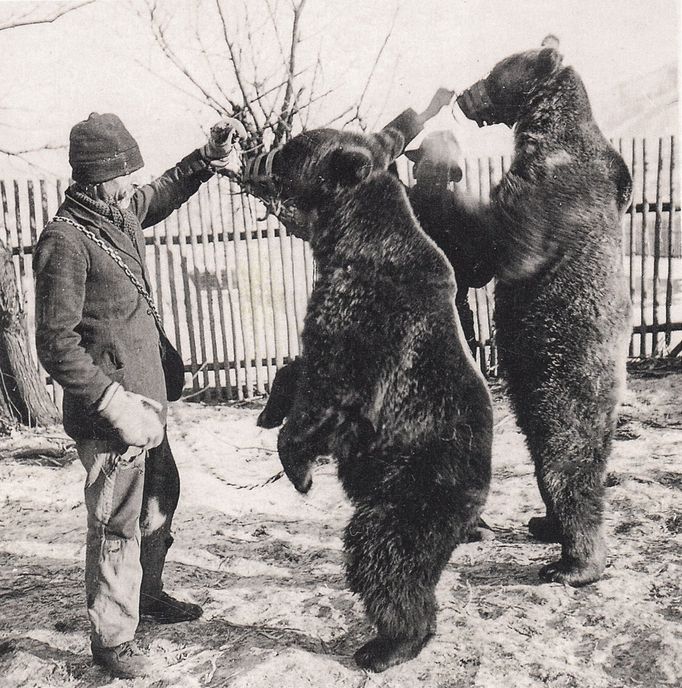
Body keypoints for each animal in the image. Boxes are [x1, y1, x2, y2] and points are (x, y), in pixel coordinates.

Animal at [456, 37, 632, 584]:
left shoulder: (552, 183)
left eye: (493, 73)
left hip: (563, 373)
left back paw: (574, 563)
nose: (462, 96)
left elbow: (508, 241)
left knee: (565, 459)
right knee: (540, 449)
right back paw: (544, 523)